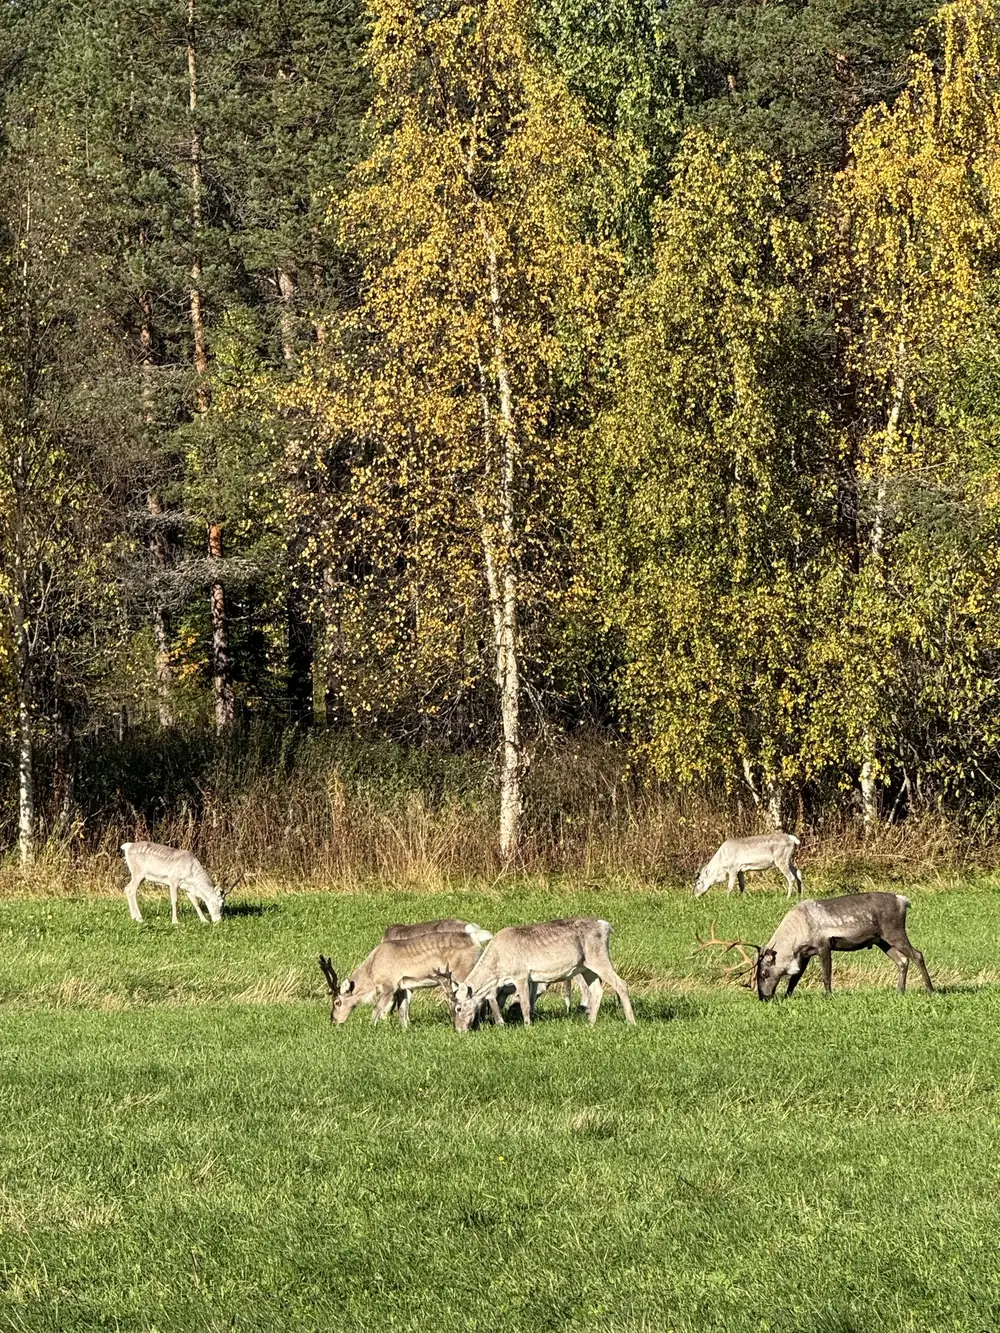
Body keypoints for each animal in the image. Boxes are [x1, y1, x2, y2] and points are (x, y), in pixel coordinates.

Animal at [318, 930, 496, 1029]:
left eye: (337, 1002)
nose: (333, 1021)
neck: (372, 972)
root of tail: (476, 939)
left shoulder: (389, 985)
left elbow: (376, 1009)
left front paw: (370, 1029)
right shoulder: (405, 986)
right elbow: (403, 1011)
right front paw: (406, 1030)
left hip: (464, 971)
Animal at [446, 917, 636, 1032]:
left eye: (458, 1008)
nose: (459, 1029)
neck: (497, 972)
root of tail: (606, 926)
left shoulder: (520, 974)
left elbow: (525, 1004)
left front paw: (527, 1026)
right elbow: (530, 1002)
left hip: (599, 957)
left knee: (621, 983)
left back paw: (631, 1021)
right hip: (586, 966)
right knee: (597, 990)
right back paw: (590, 1023)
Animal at [756, 892, 934, 1000]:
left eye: (764, 973)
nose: (763, 997)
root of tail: (903, 901)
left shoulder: (823, 947)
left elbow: (826, 975)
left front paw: (828, 996)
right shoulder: (805, 954)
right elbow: (795, 978)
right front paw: (787, 996)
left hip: (894, 932)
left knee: (917, 954)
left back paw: (930, 990)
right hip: (882, 941)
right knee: (902, 960)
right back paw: (900, 991)